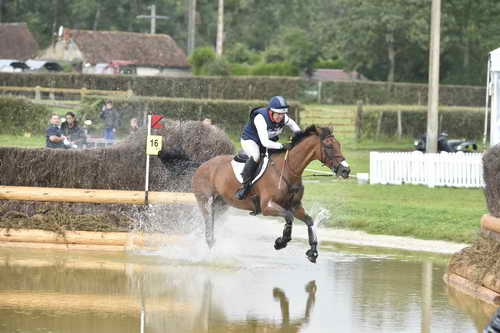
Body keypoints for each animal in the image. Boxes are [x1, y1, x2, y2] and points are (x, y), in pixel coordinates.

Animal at [191, 124, 352, 262]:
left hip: (221, 205)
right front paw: (281, 242)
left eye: (339, 145)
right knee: (208, 222)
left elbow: (309, 221)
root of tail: (202, 166)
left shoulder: (295, 206)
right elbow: (288, 217)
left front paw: (313, 251)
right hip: (205, 202)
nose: (346, 170)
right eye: (329, 146)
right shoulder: (267, 207)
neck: (289, 169)